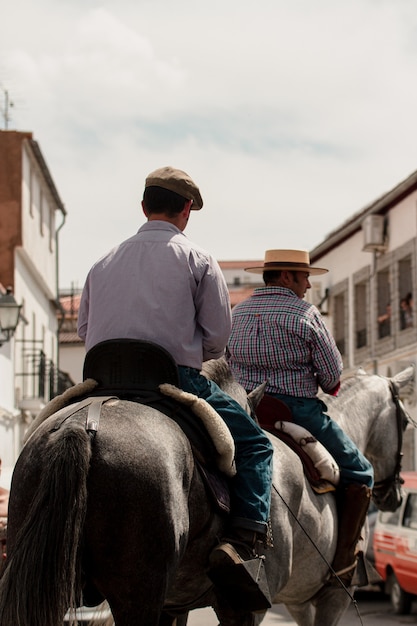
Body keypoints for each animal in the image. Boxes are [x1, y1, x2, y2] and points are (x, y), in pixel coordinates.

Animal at [0, 358, 412, 620]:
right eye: (407, 421)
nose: (394, 494)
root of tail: (82, 426)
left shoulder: (178, 605)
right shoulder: (311, 600)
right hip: (137, 594)